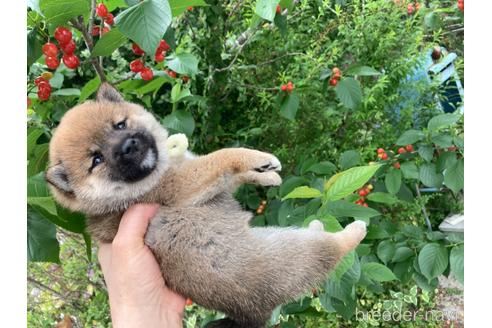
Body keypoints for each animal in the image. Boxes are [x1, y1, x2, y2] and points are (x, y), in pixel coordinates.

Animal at [46, 83, 368, 326]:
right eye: (96, 160)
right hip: (292, 252)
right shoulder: (181, 185)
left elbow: (231, 174)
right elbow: (223, 157)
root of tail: (253, 315)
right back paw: (355, 229)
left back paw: (317, 223)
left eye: (120, 124)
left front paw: (266, 176)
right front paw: (257, 158)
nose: (128, 146)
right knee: (330, 251)